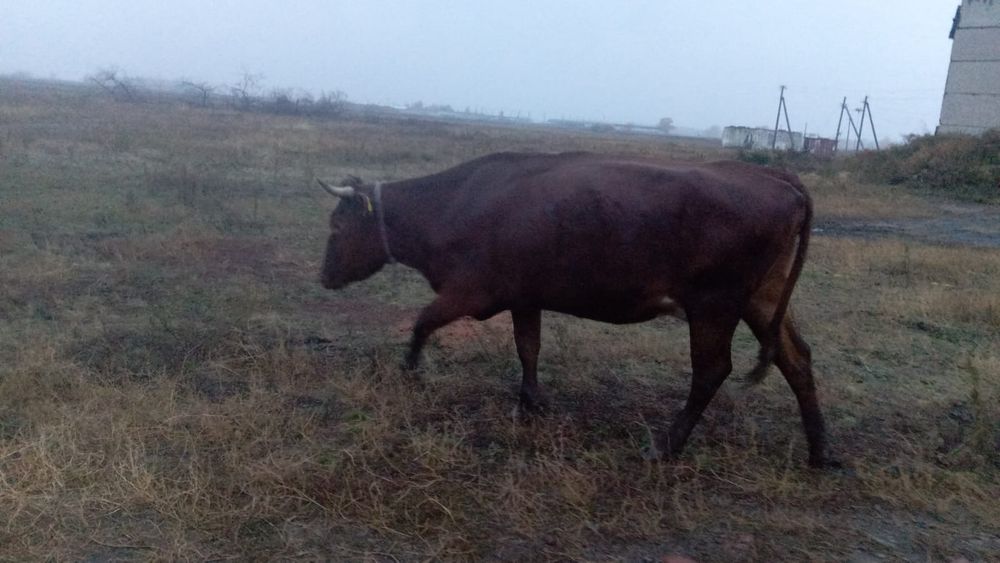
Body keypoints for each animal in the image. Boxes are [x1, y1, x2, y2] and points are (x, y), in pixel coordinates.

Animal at [317, 151, 835, 468]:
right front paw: (532, 402)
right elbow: (528, 347)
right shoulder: (525, 297)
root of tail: (771, 175)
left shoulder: (471, 292)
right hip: (762, 299)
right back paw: (818, 451)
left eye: (337, 227)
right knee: (796, 359)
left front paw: (409, 372)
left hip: (714, 303)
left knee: (711, 370)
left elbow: (423, 322)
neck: (451, 205)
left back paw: (666, 446)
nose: (323, 278)